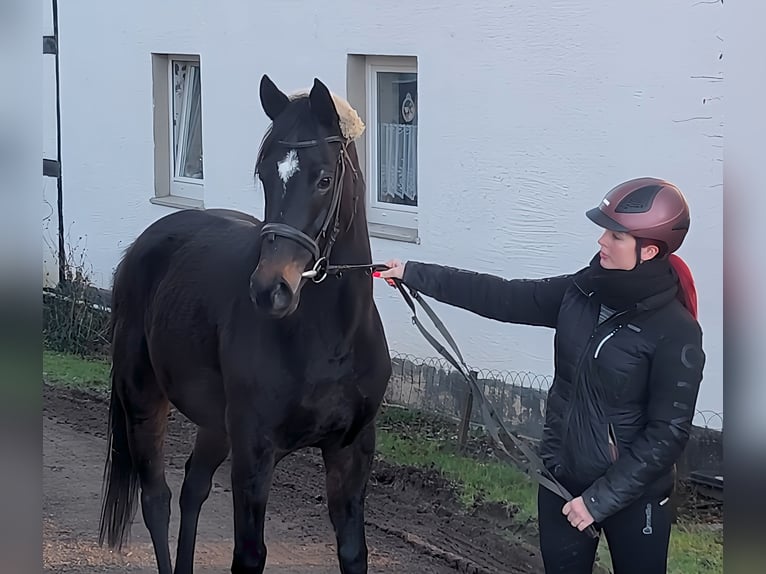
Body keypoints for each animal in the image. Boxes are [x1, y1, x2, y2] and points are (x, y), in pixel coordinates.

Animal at [98, 76, 392, 574]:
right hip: (142, 400)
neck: (329, 339)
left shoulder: (351, 452)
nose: (271, 289)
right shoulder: (255, 453)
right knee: (157, 499)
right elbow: (249, 554)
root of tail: (143, 245)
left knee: (192, 488)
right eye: (266, 174)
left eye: (324, 178)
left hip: (215, 426)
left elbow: (353, 552)